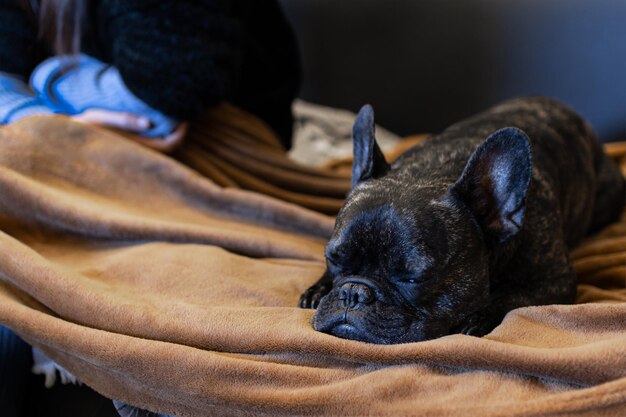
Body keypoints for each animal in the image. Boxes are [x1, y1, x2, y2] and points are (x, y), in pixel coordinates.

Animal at [298, 96, 624, 342]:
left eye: (414, 278)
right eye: (333, 259)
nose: (352, 293)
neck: (434, 170)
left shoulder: (555, 281)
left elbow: (512, 297)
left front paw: (478, 316)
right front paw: (319, 289)